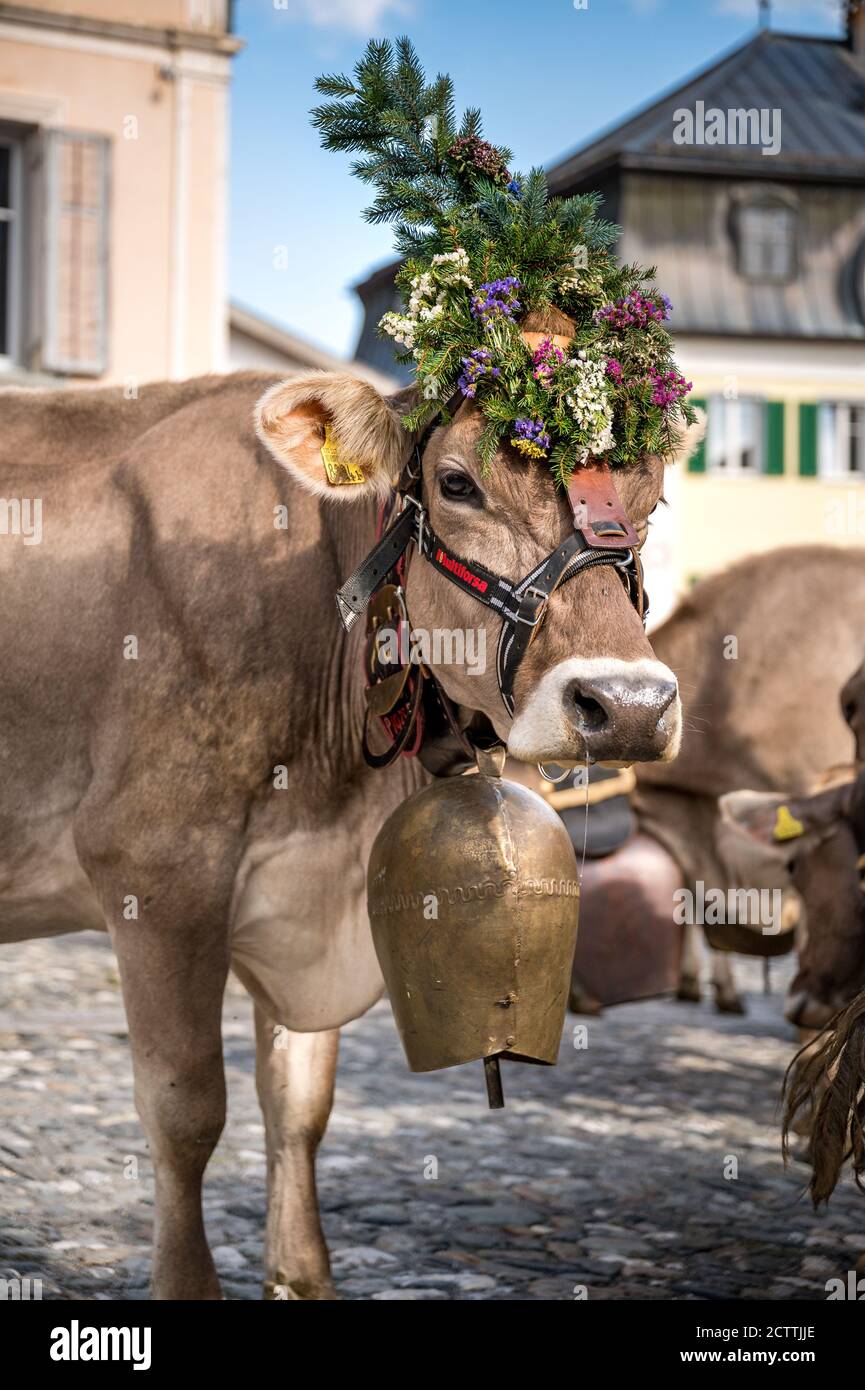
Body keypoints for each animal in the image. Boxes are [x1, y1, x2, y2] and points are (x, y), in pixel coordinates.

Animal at [0, 370, 702, 1300]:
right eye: (455, 484)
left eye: (652, 498)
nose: (626, 707)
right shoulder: (154, 865)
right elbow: (186, 1111)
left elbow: (299, 1106)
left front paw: (302, 1276)